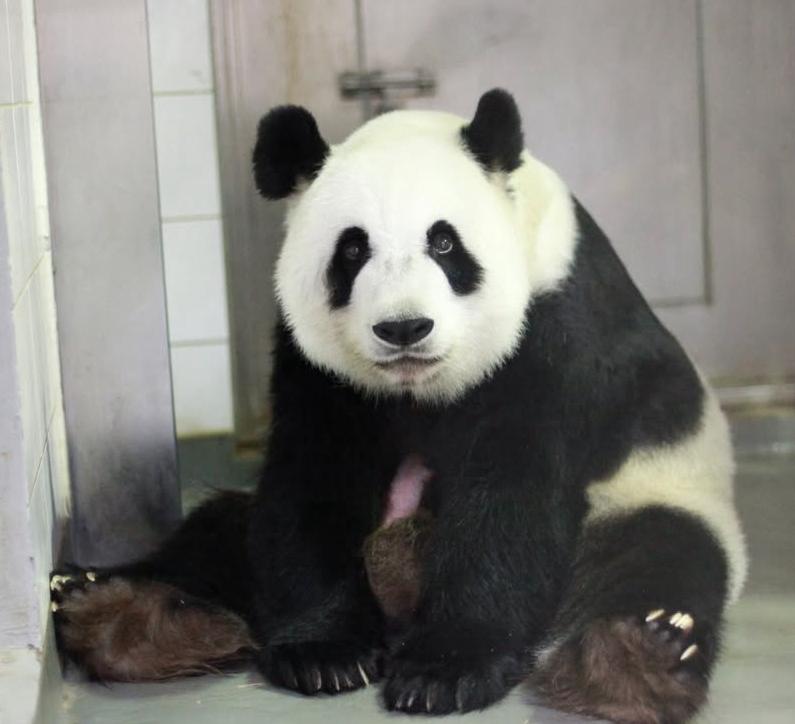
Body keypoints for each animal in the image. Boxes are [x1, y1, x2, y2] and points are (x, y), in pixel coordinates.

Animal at [51, 89, 747, 724]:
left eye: (445, 245)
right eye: (352, 250)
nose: (404, 327)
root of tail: (397, 581)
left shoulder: (556, 326)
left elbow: (512, 490)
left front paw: (447, 670)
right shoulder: (313, 362)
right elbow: (314, 477)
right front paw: (324, 653)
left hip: (651, 487)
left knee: (656, 556)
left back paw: (639, 655)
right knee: (218, 535)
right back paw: (116, 615)